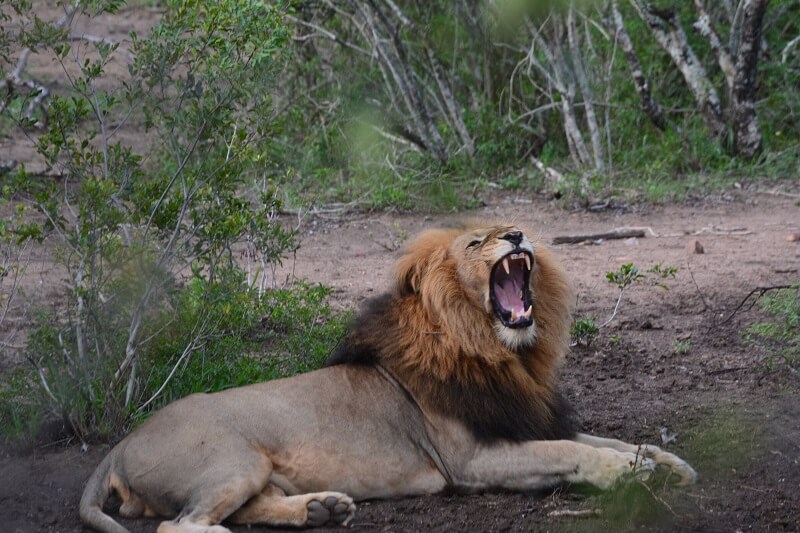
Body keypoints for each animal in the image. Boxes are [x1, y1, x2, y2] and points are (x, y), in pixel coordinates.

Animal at [79, 223, 692, 532]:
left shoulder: (524, 419)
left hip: (254, 473)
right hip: (234, 459)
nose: (517, 236)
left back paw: (321, 510)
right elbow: (572, 450)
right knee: (178, 526)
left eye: (512, 227)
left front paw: (665, 462)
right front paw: (625, 471)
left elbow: (604, 437)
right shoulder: (470, 461)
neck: (501, 354)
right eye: (476, 242)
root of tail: (121, 444)